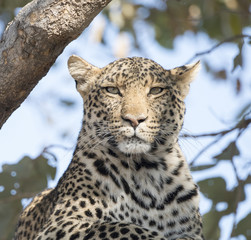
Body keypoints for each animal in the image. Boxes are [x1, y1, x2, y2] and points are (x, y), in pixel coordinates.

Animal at [14, 55, 204, 239]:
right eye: (112, 90)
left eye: (156, 90)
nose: (134, 120)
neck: (146, 171)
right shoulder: (60, 224)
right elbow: (124, 228)